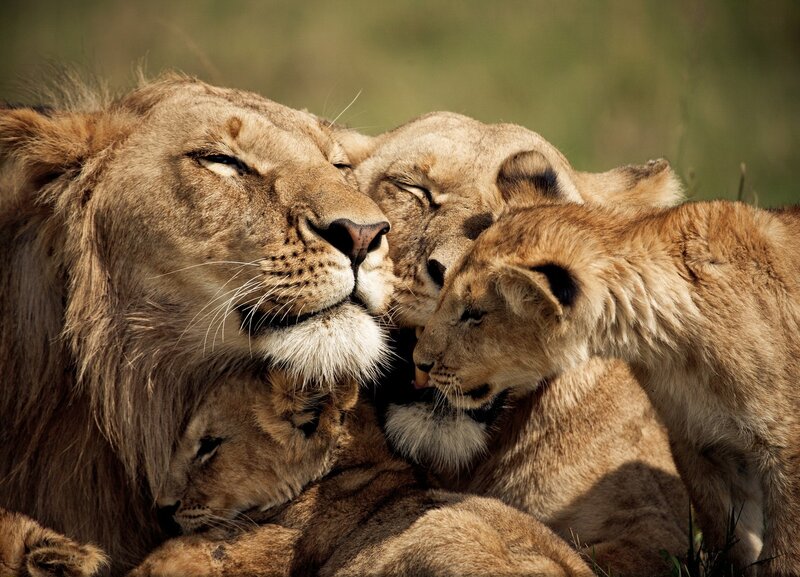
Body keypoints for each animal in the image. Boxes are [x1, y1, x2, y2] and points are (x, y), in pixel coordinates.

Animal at [413, 201, 800, 577]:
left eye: (474, 314)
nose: (419, 363)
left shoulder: (784, 450)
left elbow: (785, 553)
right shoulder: (701, 442)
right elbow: (730, 537)